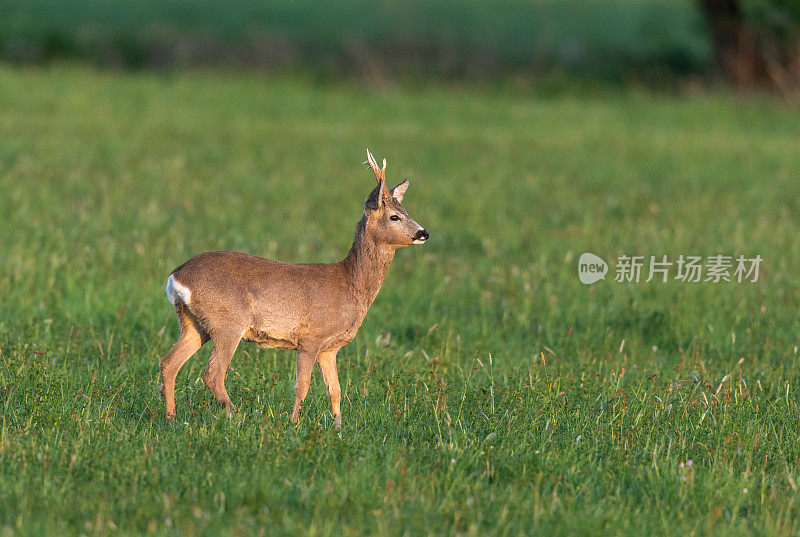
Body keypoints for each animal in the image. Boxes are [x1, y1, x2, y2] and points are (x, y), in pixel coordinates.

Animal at [159, 150, 428, 428]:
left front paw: (338, 427)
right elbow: (302, 385)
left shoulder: (330, 347)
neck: (350, 283)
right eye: (394, 216)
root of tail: (176, 277)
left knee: (169, 363)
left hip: (194, 324)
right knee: (212, 373)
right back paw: (236, 415)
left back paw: (171, 417)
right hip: (228, 322)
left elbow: (335, 389)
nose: (423, 233)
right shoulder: (310, 338)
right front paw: (294, 423)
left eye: (405, 211)